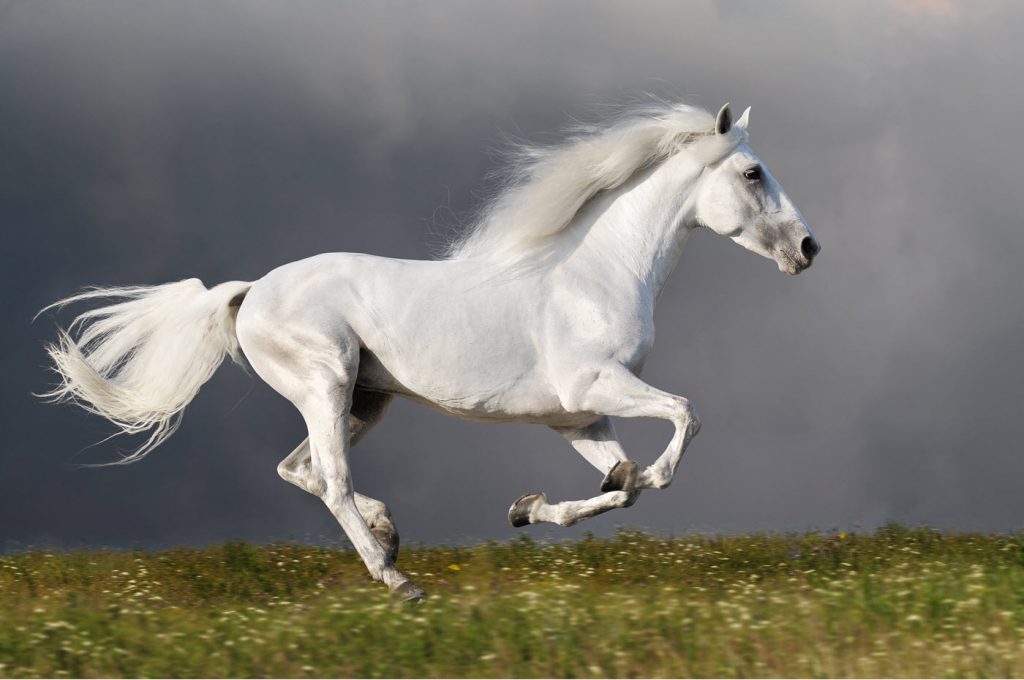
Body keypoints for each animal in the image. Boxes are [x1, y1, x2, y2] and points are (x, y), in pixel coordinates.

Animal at [40, 102, 819, 600]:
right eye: (752, 173)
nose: (809, 248)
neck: (594, 272)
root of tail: (250, 291)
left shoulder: (576, 417)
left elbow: (619, 486)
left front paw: (529, 509)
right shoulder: (595, 386)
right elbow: (682, 421)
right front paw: (638, 476)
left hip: (365, 400)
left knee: (302, 470)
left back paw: (388, 535)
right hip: (326, 385)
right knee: (329, 478)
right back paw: (396, 578)